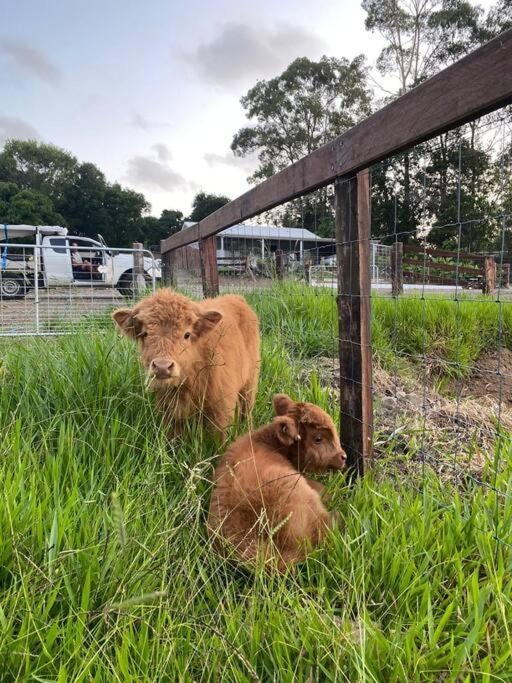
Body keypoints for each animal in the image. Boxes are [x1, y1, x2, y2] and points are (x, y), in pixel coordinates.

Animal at [112, 289, 260, 437]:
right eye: (144, 334)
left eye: (187, 334)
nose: (162, 367)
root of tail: (237, 298)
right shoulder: (170, 415)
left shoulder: (221, 413)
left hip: (249, 384)